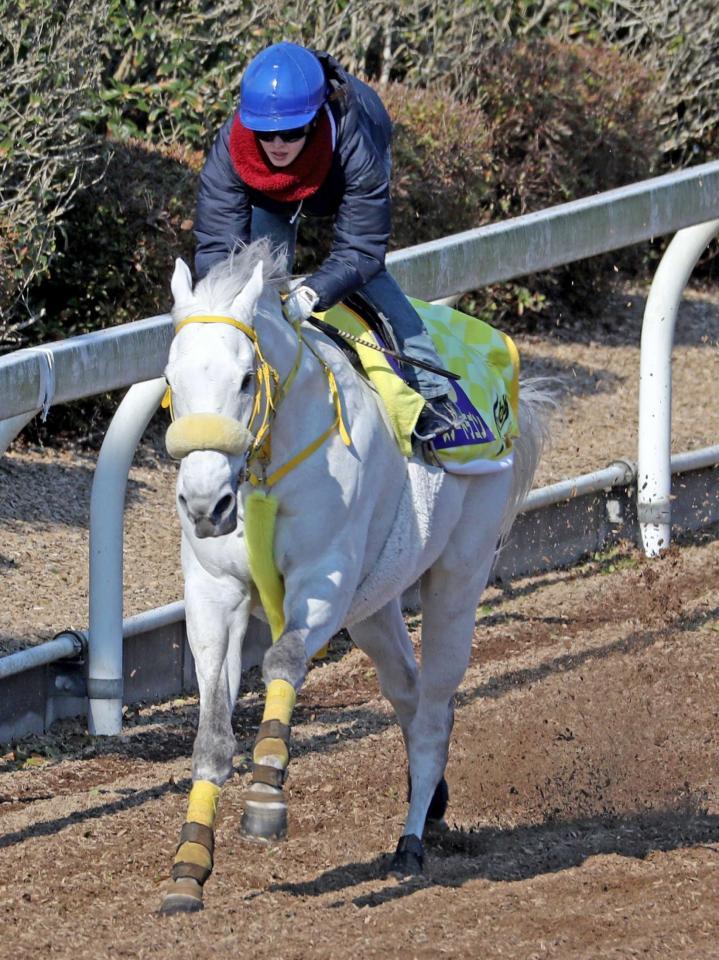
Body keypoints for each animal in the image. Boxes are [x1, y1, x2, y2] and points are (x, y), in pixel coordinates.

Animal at [159, 242, 552, 916]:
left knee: (436, 706)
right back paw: (433, 801)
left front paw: (266, 799)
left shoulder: (326, 576)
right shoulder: (213, 596)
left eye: (245, 379)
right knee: (407, 690)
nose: (205, 503)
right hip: (374, 605)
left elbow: (284, 660)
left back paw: (411, 842)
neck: (264, 471)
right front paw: (188, 868)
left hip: (459, 575)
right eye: (171, 380)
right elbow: (210, 737)